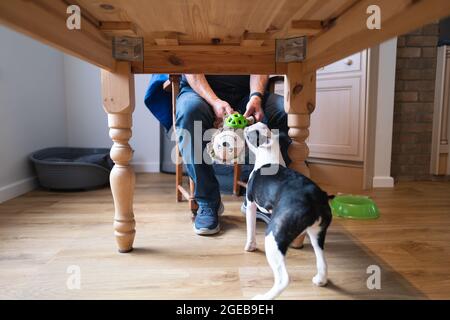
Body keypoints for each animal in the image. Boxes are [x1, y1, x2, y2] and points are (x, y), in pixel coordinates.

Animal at [244, 122, 332, 300]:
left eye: (251, 131)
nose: (246, 125)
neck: (269, 155)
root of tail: (314, 198)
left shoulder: (250, 204)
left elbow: (251, 229)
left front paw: (250, 246)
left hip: (274, 236)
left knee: (283, 279)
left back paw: (264, 297)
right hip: (317, 233)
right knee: (322, 259)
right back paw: (320, 279)